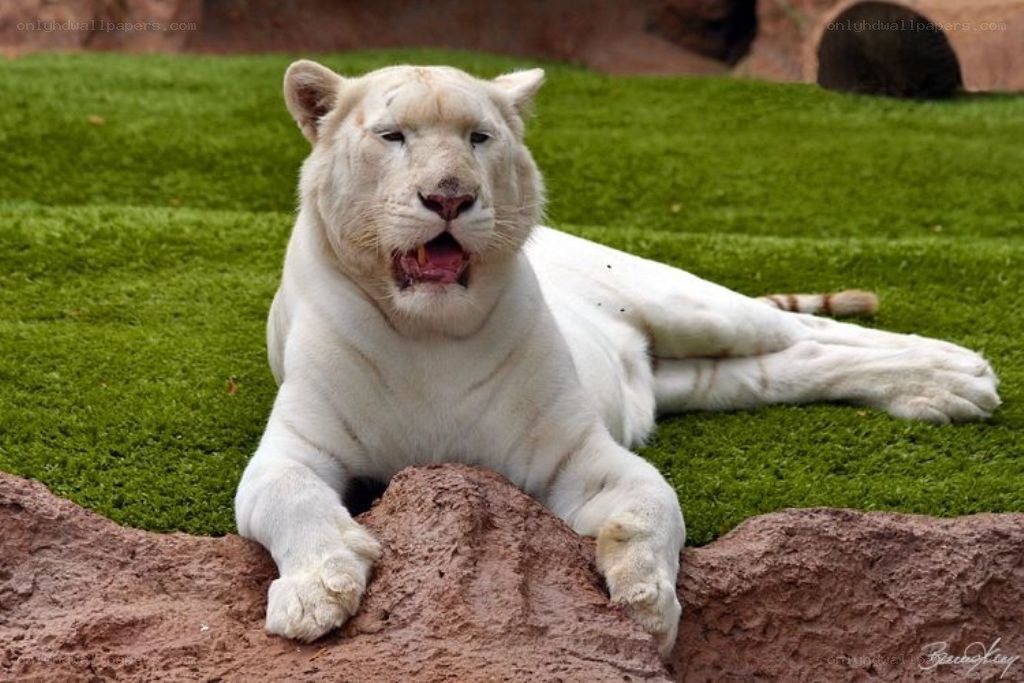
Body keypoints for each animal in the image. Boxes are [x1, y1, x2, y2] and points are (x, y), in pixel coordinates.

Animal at [234, 61, 1000, 658]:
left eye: (479, 138)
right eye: (393, 137)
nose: (450, 196)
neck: (429, 334)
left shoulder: (574, 452)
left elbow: (655, 504)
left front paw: (647, 601)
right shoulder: (295, 447)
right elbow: (289, 496)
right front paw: (315, 594)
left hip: (696, 307)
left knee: (800, 327)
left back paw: (957, 371)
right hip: (709, 372)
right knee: (793, 360)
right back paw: (946, 388)